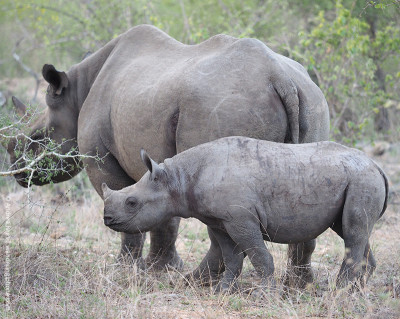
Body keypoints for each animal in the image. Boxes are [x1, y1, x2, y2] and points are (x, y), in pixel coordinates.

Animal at [7, 24, 330, 288]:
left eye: (37, 140)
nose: (17, 171)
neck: (77, 92)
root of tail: (281, 78)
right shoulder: (162, 166)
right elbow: (165, 215)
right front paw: (161, 267)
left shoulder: (101, 158)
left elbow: (124, 206)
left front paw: (126, 267)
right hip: (312, 100)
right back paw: (298, 285)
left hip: (225, 106)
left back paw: (197, 282)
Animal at [102, 137, 388, 292]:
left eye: (131, 202)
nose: (107, 219)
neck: (176, 179)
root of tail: (377, 165)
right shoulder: (219, 221)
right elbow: (232, 256)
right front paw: (222, 291)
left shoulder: (241, 218)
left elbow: (257, 254)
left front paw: (265, 294)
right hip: (356, 178)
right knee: (351, 230)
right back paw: (357, 289)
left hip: (362, 179)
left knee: (352, 231)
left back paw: (340, 291)